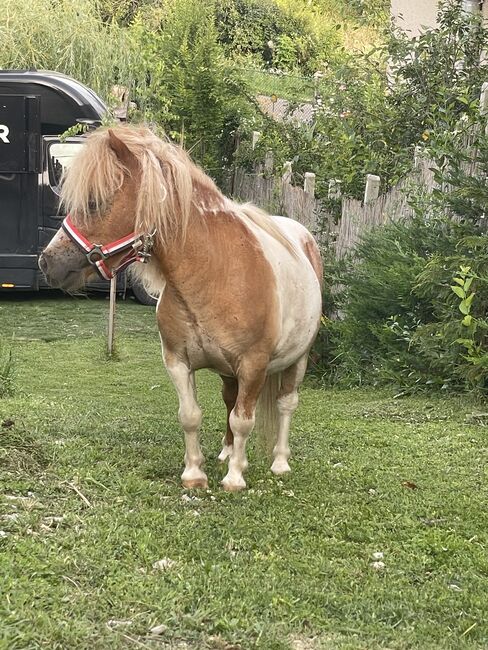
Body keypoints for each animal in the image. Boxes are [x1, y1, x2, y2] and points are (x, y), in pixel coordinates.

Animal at [41, 125, 324, 492]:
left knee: (285, 404)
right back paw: (226, 453)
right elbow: (191, 416)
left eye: (95, 202)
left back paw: (279, 462)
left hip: (297, 360)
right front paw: (195, 473)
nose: (47, 262)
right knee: (230, 399)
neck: (213, 272)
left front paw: (235, 478)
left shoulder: (253, 365)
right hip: (229, 371)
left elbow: (244, 420)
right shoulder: (177, 361)